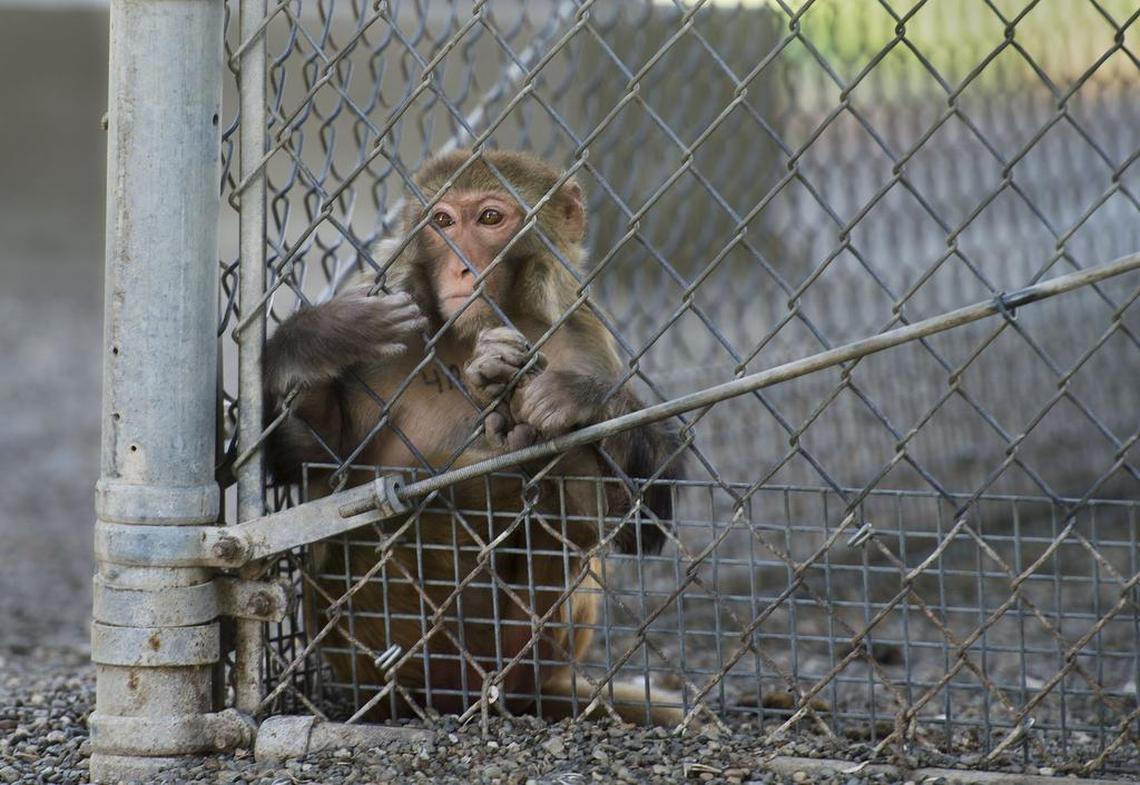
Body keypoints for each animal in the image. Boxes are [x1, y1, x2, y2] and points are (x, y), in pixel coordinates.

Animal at [263, 149, 684, 725]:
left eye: (489, 218)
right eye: (443, 222)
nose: (463, 265)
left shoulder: (584, 339)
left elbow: (639, 524)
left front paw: (579, 397)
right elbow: (311, 464)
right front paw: (316, 339)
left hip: (539, 649)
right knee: (376, 521)